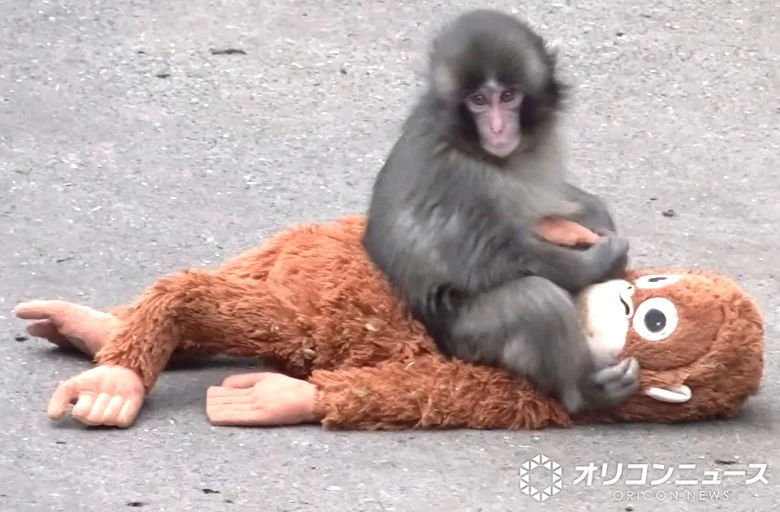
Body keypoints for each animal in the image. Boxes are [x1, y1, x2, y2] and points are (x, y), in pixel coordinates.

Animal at [362, 9, 639, 415]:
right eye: (478, 100)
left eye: (507, 96)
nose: (496, 128)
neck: (475, 149)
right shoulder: (459, 178)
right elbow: (485, 260)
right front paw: (600, 262)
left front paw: (595, 214)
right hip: (467, 340)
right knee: (536, 300)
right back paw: (585, 393)